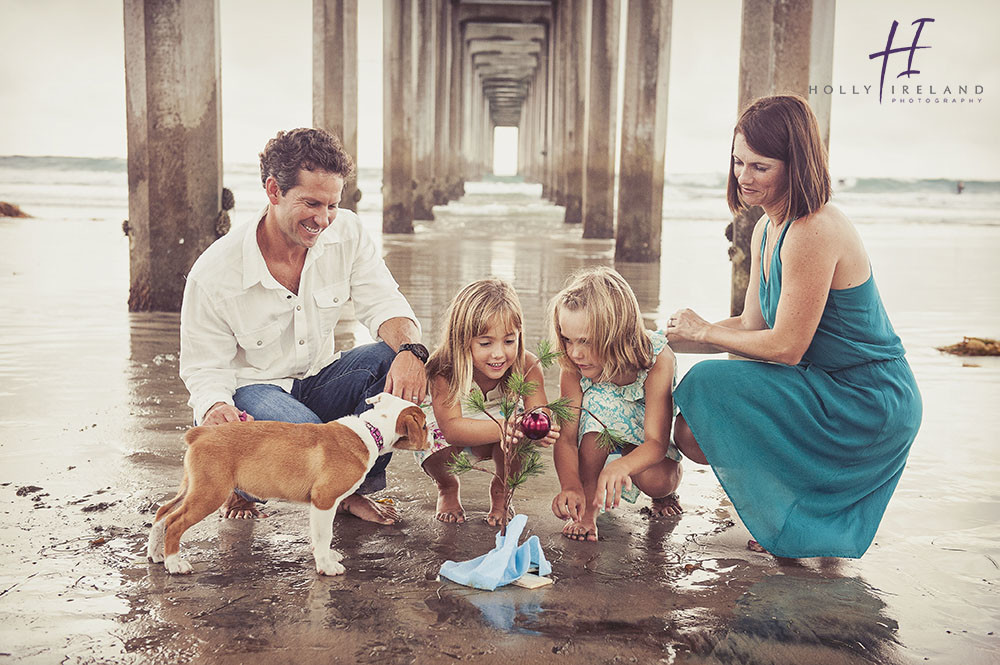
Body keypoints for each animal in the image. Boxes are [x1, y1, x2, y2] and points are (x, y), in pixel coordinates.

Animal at [146, 392, 428, 572]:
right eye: (425, 426)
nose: (432, 439)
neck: (371, 429)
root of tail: (201, 433)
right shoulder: (325, 500)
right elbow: (325, 534)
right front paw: (326, 566)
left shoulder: (321, 505)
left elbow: (320, 535)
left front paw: (325, 556)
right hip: (209, 492)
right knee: (175, 522)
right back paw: (174, 563)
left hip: (192, 487)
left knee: (163, 512)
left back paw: (156, 554)